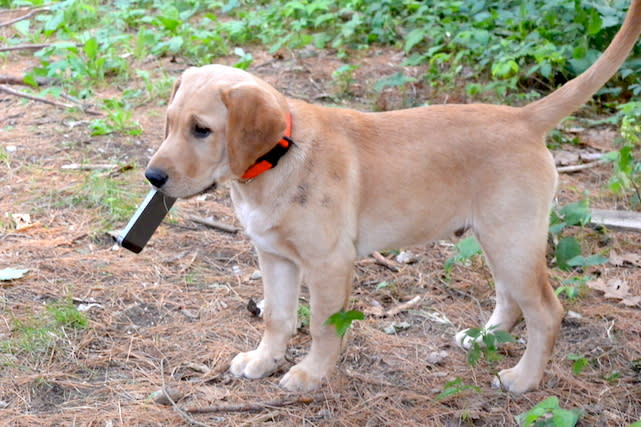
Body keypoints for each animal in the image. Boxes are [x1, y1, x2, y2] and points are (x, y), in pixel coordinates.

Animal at [145, 0, 640, 394]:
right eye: (169, 123)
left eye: (202, 130)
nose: (152, 176)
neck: (279, 158)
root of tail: (523, 118)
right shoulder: (275, 256)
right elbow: (277, 317)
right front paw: (263, 360)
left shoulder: (328, 263)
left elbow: (323, 326)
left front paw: (310, 374)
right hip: (496, 239)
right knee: (509, 298)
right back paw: (485, 339)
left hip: (512, 239)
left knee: (546, 312)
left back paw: (523, 379)